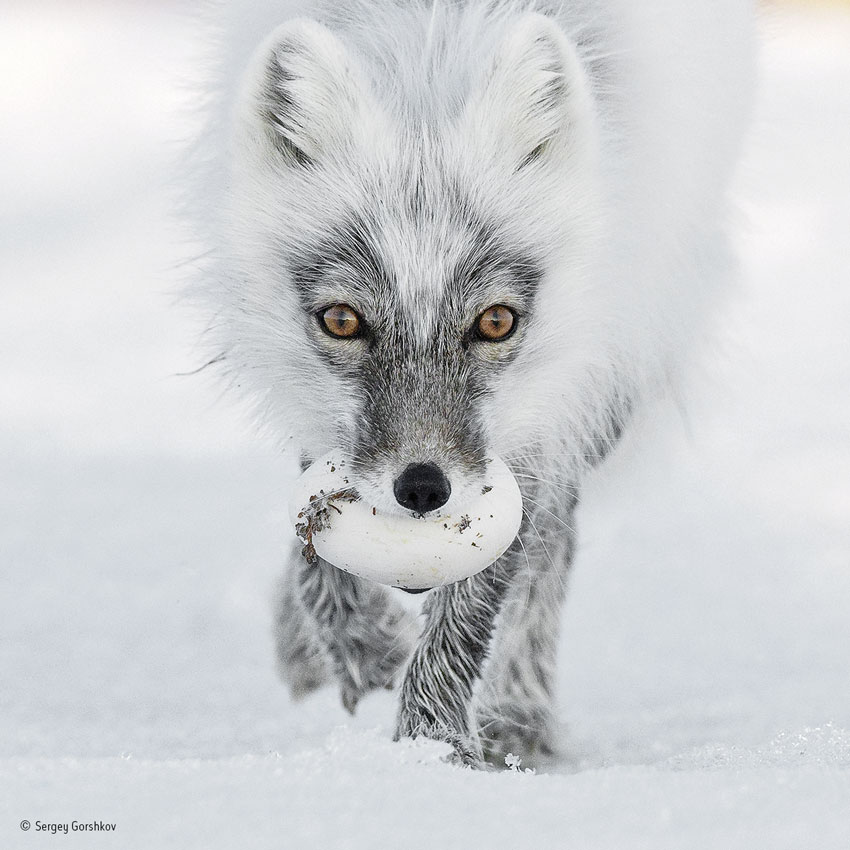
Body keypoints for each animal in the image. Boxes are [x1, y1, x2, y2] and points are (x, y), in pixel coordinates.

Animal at [189, 0, 752, 764]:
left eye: (495, 322)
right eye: (342, 320)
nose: (424, 489)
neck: (429, 58)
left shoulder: (542, 419)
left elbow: (478, 604)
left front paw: (431, 752)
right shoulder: (317, 409)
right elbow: (316, 547)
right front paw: (363, 649)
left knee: (551, 549)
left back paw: (518, 718)